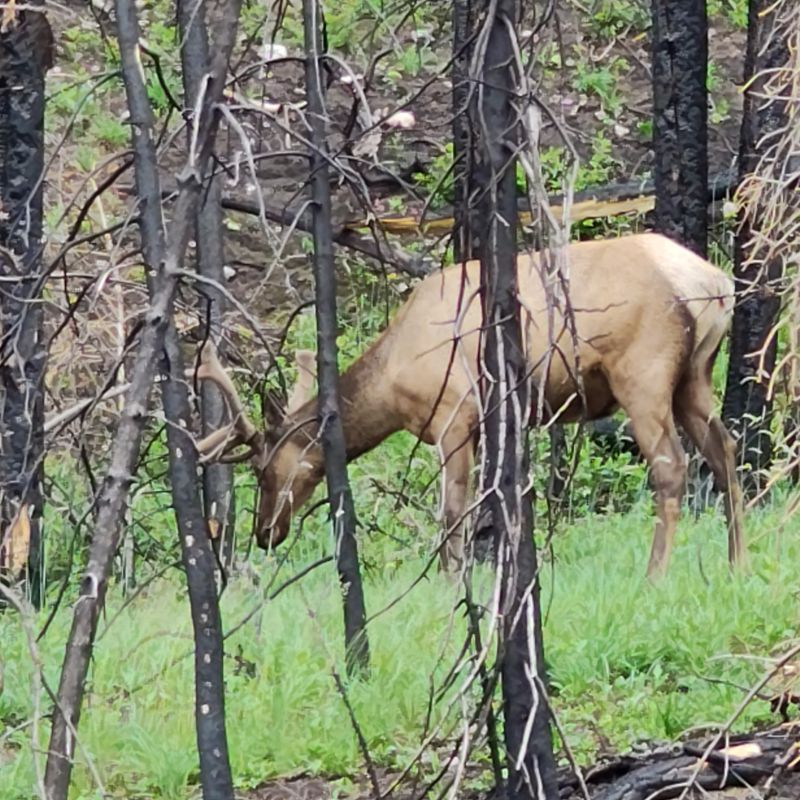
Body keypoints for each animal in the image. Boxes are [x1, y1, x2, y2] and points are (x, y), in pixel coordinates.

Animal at [194, 232, 746, 579]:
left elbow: (453, 510)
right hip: (694, 375)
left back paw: (655, 574)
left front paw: (449, 581)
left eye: (263, 470)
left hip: (643, 370)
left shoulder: (453, 416)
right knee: (725, 449)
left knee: (671, 466)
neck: (393, 379)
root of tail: (712, 284)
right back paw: (737, 563)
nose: (265, 532)